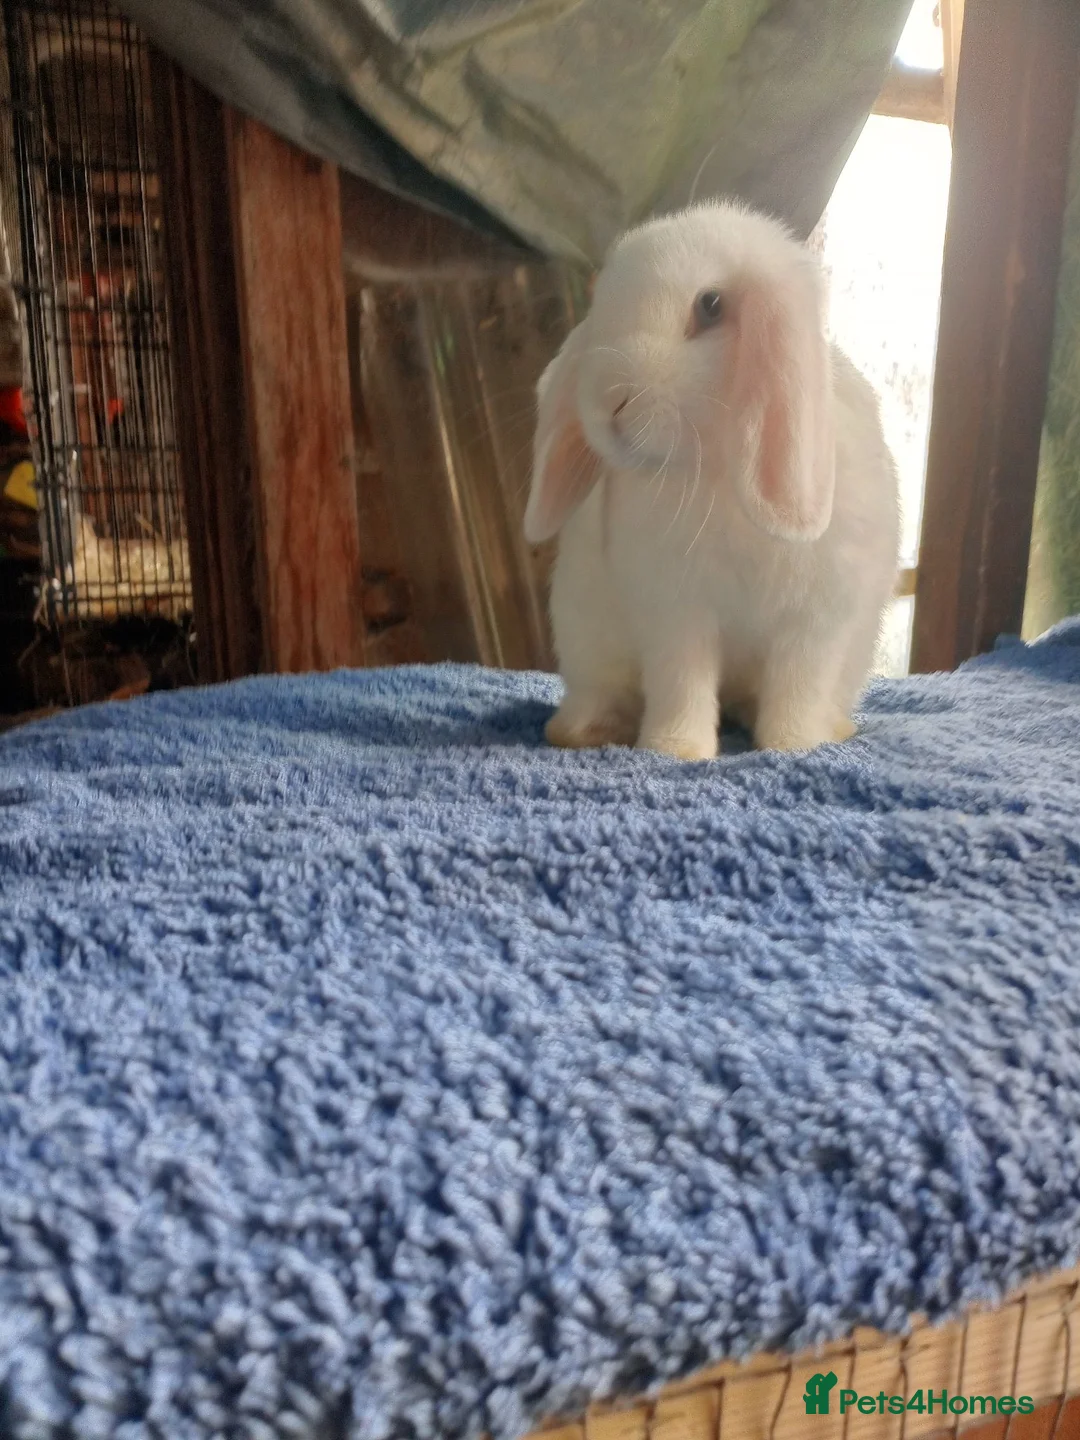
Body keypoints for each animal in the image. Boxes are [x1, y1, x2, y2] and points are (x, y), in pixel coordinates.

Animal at [523, 199, 900, 761]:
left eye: (711, 305)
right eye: (599, 305)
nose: (608, 402)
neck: (720, 472)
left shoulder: (815, 623)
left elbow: (799, 689)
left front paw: (793, 746)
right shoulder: (676, 612)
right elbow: (682, 683)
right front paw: (675, 750)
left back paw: (834, 727)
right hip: (584, 638)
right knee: (600, 693)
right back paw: (582, 731)